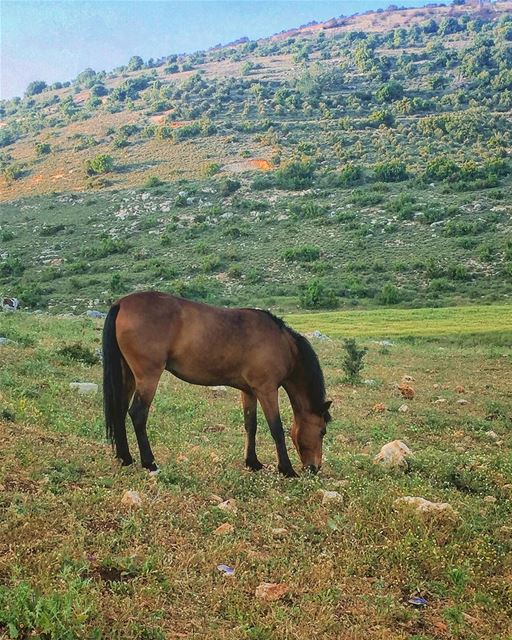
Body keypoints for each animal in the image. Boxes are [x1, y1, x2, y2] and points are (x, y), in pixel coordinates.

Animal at [103, 290, 332, 476]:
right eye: (322, 431)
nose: (315, 468)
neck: (282, 343)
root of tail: (121, 303)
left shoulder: (249, 391)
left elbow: (251, 425)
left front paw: (253, 463)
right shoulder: (266, 390)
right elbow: (276, 428)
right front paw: (286, 469)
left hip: (128, 375)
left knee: (120, 411)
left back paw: (125, 458)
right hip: (148, 377)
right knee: (138, 414)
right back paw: (149, 463)